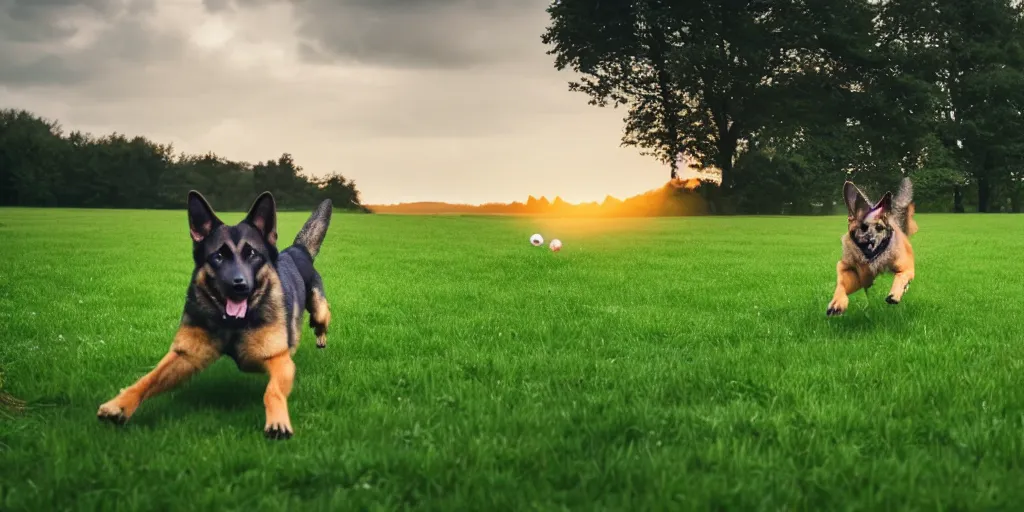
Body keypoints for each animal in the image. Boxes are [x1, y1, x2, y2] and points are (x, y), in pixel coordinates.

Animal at [98, 190, 333, 438]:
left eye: (252, 254)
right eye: (218, 257)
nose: (239, 286)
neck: (232, 324)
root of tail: (297, 249)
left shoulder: (278, 360)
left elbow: (272, 391)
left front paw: (278, 421)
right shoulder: (185, 355)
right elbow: (148, 379)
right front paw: (119, 404)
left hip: (319, 310)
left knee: (320, 320)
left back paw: (320, 337)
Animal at [827, 179, 917, 315]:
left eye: (880, 227)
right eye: (863, 227)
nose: (871, 242)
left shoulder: (907, 267)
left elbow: (901, 276)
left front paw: (894, 294)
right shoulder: (848, 269)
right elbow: (841, 284)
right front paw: (837, 303)